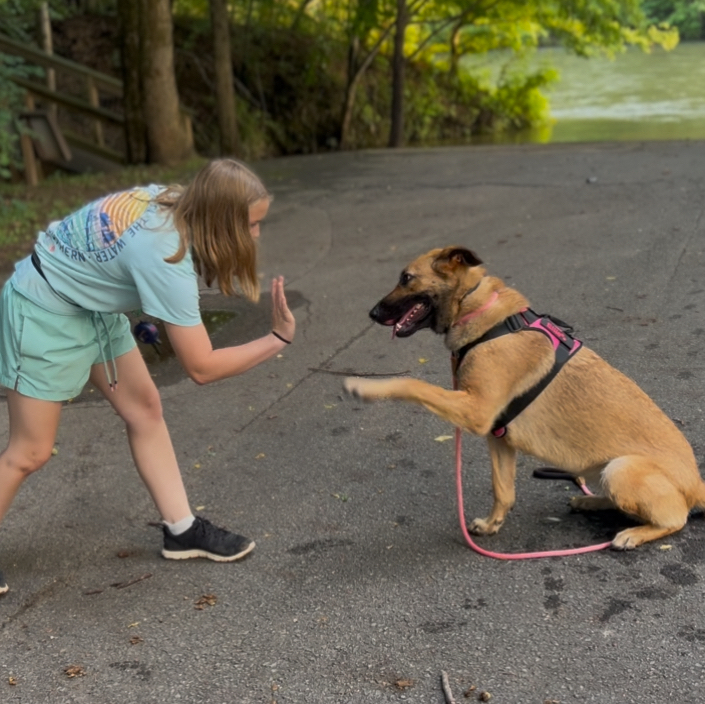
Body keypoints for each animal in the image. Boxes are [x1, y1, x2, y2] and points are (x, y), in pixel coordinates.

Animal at [344, 246, 705, 549]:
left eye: (406, 278)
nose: (372, 313)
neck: (478, 310)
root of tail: (697, 484)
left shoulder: (476, 412)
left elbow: (414, 384)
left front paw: (365, 387)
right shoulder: (498, 436)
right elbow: (503, 490)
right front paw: (492, 524)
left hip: (621, 469)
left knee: (675, 519)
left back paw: (633, 533)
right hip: (599, 470)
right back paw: (591, 501)